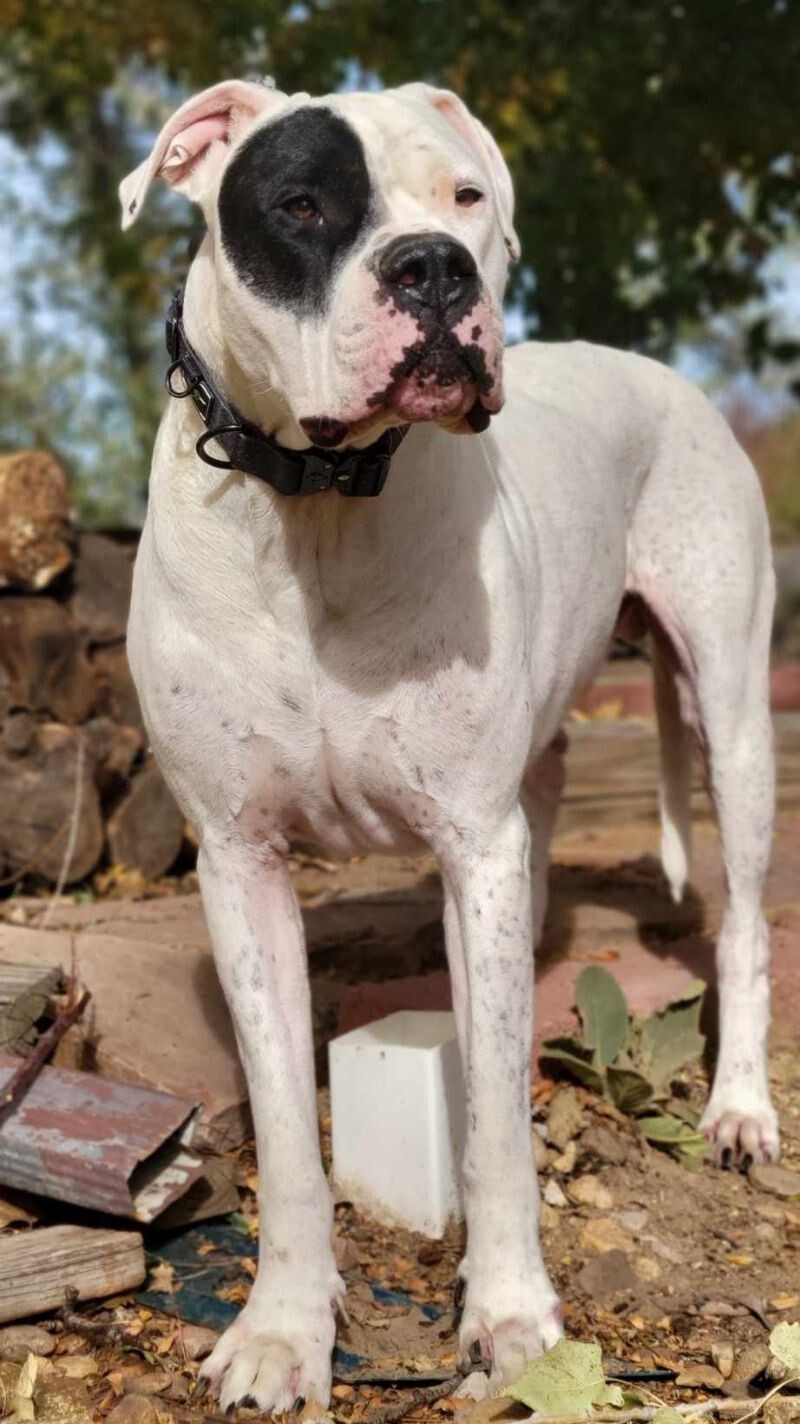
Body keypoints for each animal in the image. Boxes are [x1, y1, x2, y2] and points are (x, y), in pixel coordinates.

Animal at [121, 77, 774, 1412]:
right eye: (301, 204)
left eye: (466, 197)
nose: (432, 268)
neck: (315, 509)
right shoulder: (239, 861)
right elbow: (286, 1127)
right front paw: (280, 1328)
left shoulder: (471, 844)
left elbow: (494, 1134)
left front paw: (512, 1315)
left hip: (731, 715)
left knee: (738, 926)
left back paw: (737, 1106)